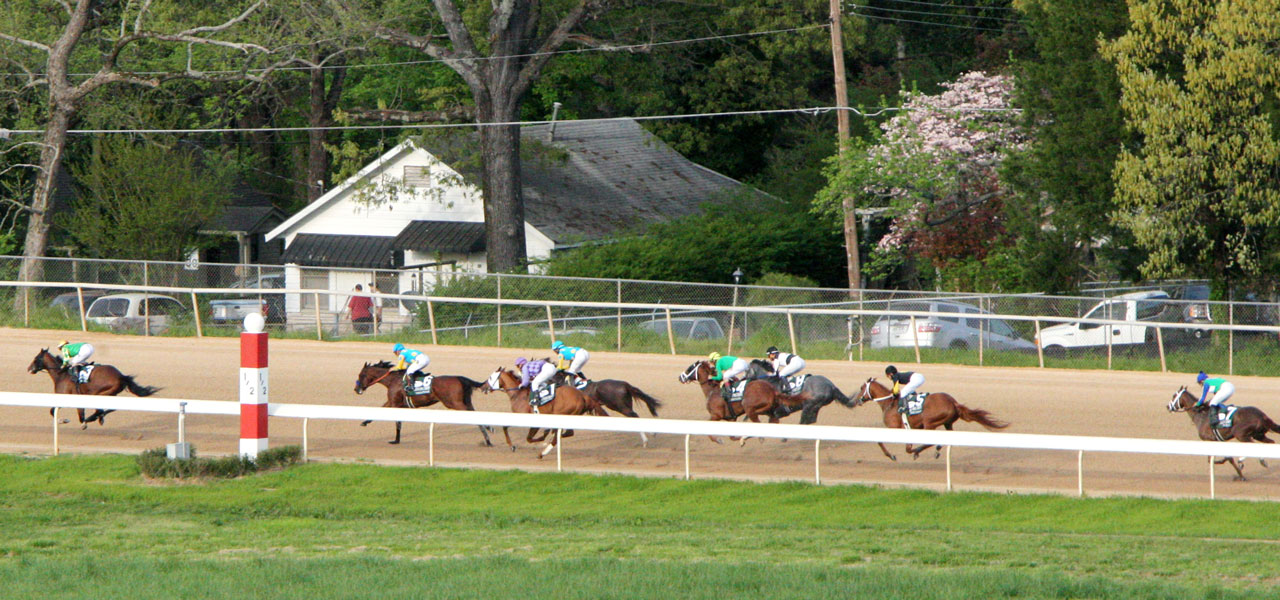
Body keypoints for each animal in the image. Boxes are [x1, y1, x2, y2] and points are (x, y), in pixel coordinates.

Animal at [25, 345, 160, 424]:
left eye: (36, 358)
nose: (29, 368)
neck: (61, 374)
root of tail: (121, 376)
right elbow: (55, 411)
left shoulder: (67, 396)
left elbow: (55, 412)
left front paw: (63, 420)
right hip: (110, 394)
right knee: (109, 408)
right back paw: (99, 417)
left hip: (98, 393)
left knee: (100, 409)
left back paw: (94, 418)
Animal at [353, 360, 491, 445]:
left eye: (361, 375)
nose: (356, 389)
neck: (393, 380)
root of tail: (461, 378)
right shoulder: (393, 402)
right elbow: (380, 410)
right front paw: (364, 422)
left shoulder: (395, 404)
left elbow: (397, 422)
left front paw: (396, 440)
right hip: (466, 402)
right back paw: (488, 437)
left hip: (454, 403)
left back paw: (488, 437)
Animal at [849, 376, 1008, 460]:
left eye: (862, 388)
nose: (856, 400)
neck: (889, 402)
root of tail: (953, 402)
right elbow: (905, 446)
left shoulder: (894, 428)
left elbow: (880, 440)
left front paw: (892, 455)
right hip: (947, 423)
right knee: (947, 437)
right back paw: (935, 449)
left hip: (929, 423)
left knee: (930, 441)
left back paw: (920, 451)